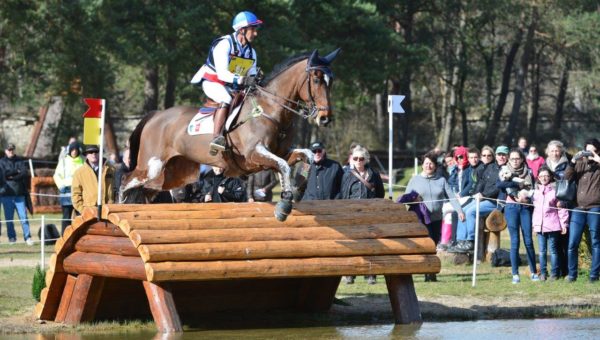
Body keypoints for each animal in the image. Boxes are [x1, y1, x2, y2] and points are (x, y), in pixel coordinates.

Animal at [119, 49, 340, 222]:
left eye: (331, 82)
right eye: (317, 79)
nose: (325, 118)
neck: (271, 108)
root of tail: (155, 115)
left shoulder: (280, 153)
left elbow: (303, 157)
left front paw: (292, 193)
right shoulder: (254, 154)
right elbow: (284, 166)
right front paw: (284, 206)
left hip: (173, 175)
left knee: (146, 191)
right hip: (151, 167)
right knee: (125, 181)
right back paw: (118, 210)